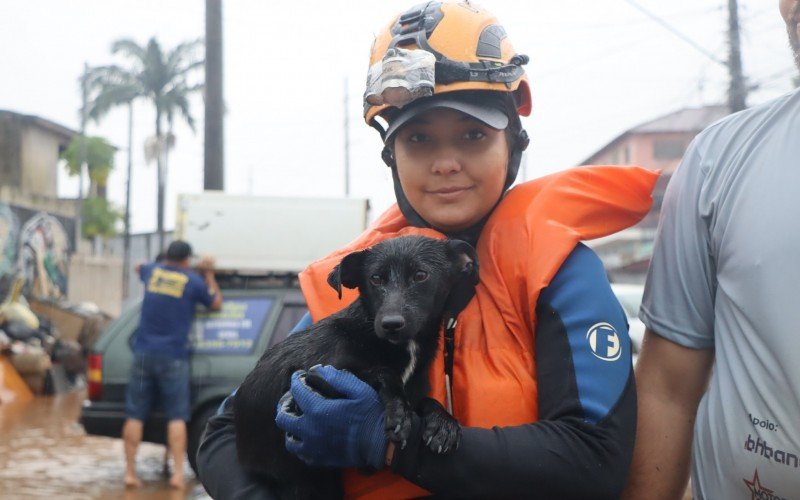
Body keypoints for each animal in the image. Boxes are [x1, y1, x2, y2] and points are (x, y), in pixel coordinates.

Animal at [234, 236, 478, 498]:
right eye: (375, 278)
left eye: (421, 275)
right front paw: (399, 410)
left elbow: (425, 400)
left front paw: (443, 423)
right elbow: (382, 372)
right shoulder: (313, 378)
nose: (391, 324)